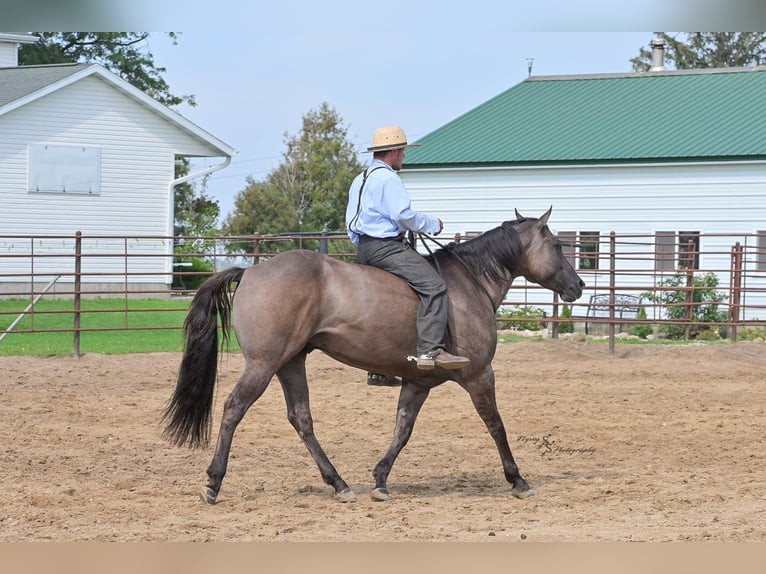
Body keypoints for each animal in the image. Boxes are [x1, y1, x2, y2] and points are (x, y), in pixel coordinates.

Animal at [162, 207, 585, 504]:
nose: (579, 285)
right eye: (557, 245)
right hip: (263, 365)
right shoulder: (480, 375)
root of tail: (250, 272)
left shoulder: (418, 381)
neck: (469, 284)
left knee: (301, 419)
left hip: (290, 363)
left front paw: (381, 479)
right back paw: (213, 482)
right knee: (234, 408)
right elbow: (496, 425)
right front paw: (517, 479)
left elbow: (402, 429)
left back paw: (339, 484)